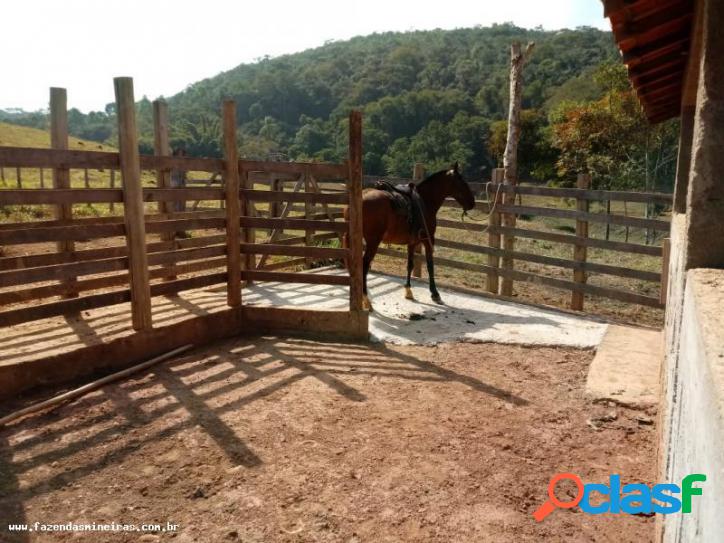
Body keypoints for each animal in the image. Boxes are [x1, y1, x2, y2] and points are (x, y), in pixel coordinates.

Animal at [348, 163, 478, 310]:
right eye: (461, 181)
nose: (472, 202)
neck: (425, 201)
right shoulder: (427, 240)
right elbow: (430, 265)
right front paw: (435, 294)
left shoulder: (412, 242)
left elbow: (409, 265)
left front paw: (408, 291)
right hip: (372, 243)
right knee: (364, 266)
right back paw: (366, 300)